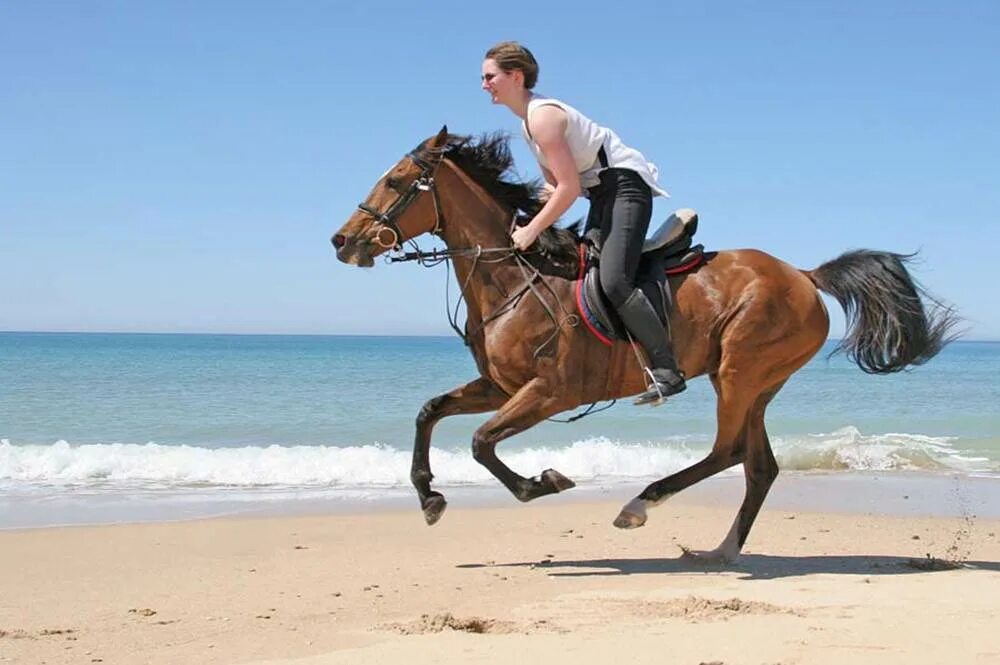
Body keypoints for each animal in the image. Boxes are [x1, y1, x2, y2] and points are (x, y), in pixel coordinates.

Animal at [332, 126, 956, 560]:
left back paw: (640, 506)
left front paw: (542, 482)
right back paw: (722, 550)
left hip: (740, 373)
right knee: (758, 465)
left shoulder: (549, 392)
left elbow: (482, 443)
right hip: (754, 382)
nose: (342, 241)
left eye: (394, 181)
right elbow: (429, 412)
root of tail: (803, 274)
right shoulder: (499, 386)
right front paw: (430, 499)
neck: (512, 275)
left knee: (728, 452)